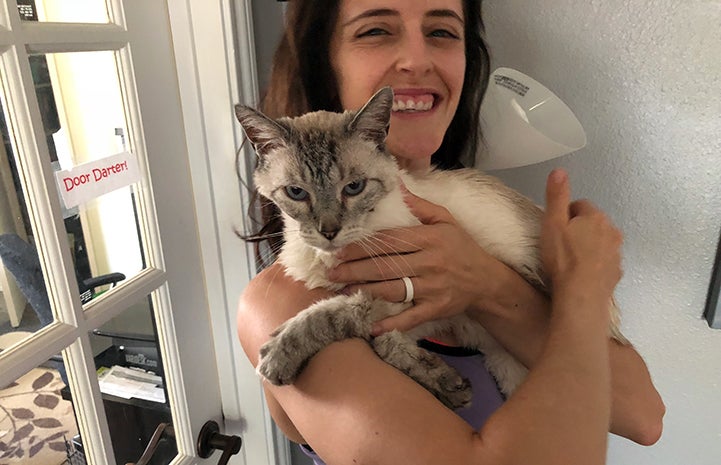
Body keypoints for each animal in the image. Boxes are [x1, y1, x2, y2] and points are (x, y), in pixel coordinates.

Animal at [235, 86, 624, 406]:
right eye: (296, 193)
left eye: (354, 187)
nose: (329, 231)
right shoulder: (424, 316)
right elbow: (385, 343)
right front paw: (447, 383)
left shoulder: (406, 298)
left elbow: (331, 315)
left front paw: (277, 355)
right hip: (502, 359)